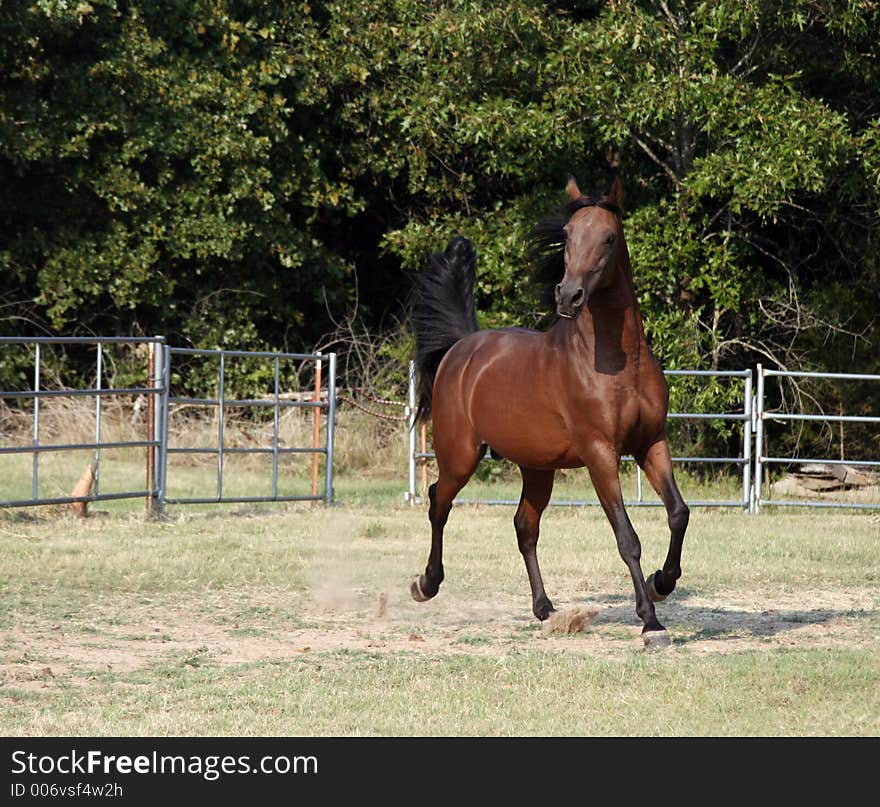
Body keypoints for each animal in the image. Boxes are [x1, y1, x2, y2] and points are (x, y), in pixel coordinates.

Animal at [410, 175, 692, 652]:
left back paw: (544, 608)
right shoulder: (600, 453)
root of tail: (462, 348)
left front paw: (661, 583)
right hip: (459, 455)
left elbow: (678, 513)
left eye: (609, 237)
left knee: (525, 526)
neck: (618, 363)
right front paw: (651, 622)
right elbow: (627, 537)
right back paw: (426, 584)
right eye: (567, 235)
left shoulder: (651, 443)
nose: (568, 295)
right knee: (437, 502)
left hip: (537, 467)